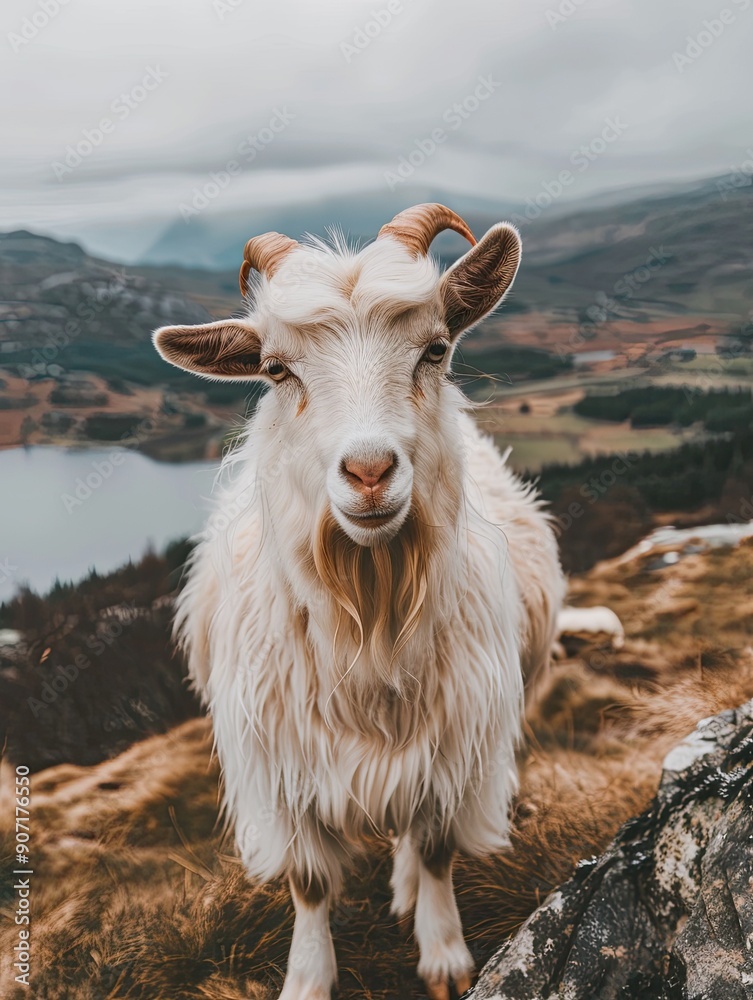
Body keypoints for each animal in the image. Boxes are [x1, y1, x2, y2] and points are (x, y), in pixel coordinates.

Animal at [153, 204, 565, 1000]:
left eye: (435, 349)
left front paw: (443, 954)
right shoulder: (283, 774)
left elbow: (434, 849)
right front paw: (308, 977)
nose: (369, 471)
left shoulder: (456, 752)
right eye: (276, 369)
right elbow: (310, 886)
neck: (369, 618)